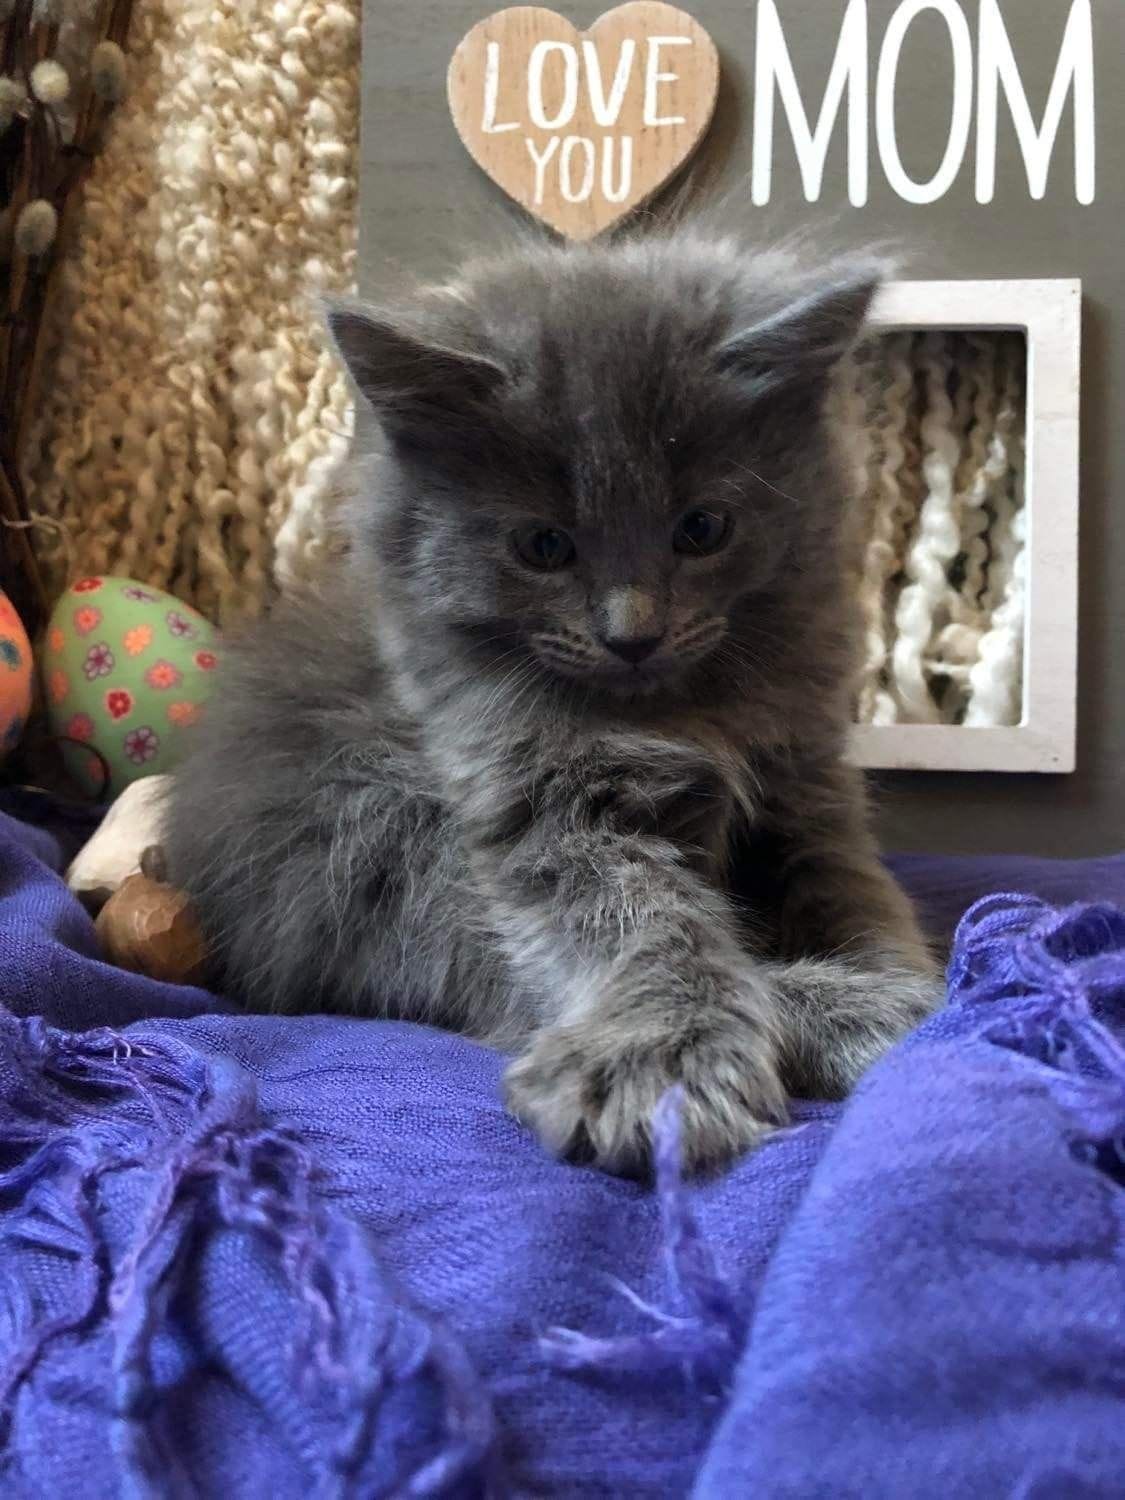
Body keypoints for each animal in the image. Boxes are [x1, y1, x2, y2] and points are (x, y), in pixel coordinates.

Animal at [165, 228, 942, 1176]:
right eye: (543, 546)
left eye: (702, 529)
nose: (631, 633)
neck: (682, 716)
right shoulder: (539, 806)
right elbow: (645, 924)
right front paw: (662, 1061)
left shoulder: (807, 787)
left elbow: (860, 896)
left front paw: (916, 984)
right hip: (377, 817)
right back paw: (847, 1013)